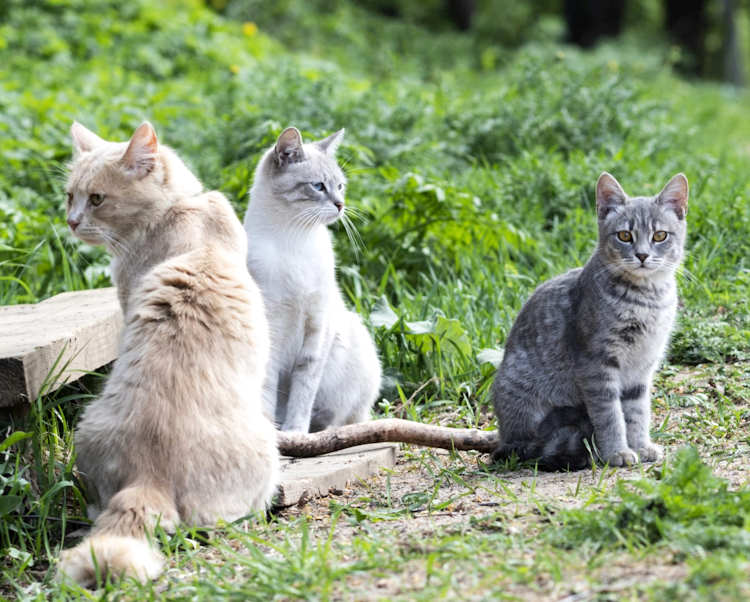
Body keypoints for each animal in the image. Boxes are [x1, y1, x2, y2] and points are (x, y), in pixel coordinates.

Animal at [244, 126, 382, 432]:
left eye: (340, 186)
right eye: (318, 187)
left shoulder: (317, 327)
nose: (341, 205)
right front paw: (274, 431)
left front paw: (295, 432)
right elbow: (269, 387)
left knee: (342, 418)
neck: (296, 239)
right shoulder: (271, 326)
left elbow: (303, 390)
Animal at [490, 171, 692, 466]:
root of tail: (504, 438)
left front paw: (641, 445)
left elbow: (637, 412)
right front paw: (617, 451)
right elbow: (610, 416)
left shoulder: (642, 367)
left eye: (660, 235)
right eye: (624, 235)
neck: (646, 300)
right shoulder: (597, 364)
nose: (642, 255)